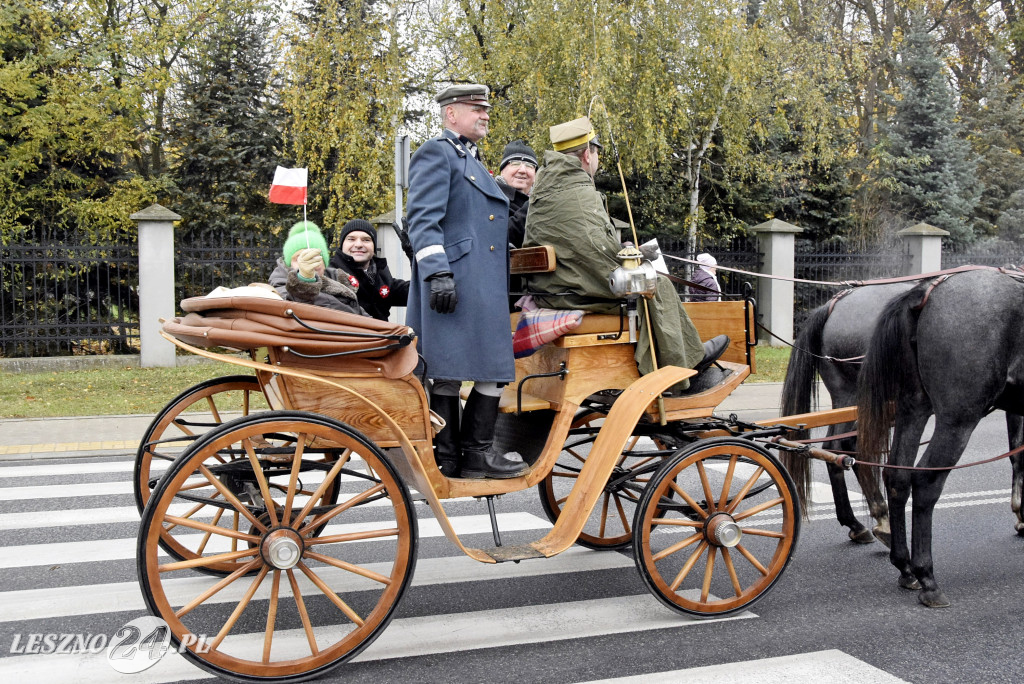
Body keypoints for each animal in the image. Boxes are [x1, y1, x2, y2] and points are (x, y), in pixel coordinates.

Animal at [778, 282, 917, 544]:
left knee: (841, 449)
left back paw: (859, 522)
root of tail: (836, 303)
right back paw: (878, 520)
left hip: (849, 399)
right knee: (848, 447)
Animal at [856, 270, 1024, 606]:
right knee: (925, 481)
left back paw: (905, 566)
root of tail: (926, 292)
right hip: (957, 421)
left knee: (897, 476)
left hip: (914, 408)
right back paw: (927, 577)